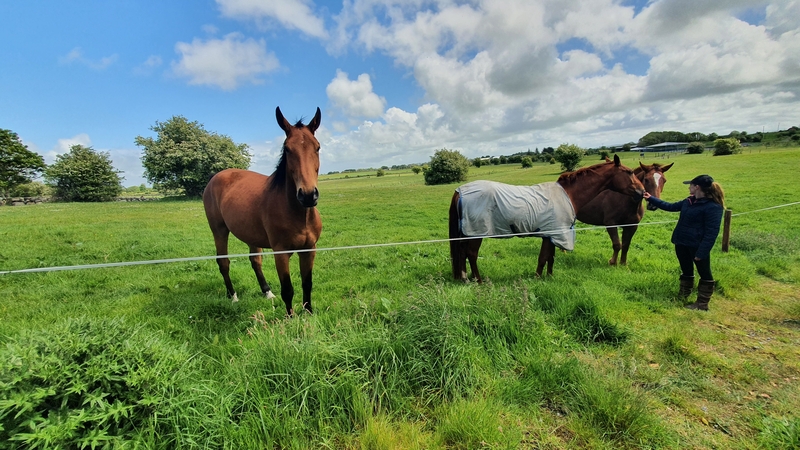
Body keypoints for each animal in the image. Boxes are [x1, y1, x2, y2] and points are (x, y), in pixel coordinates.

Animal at [203, 107, 322, 316]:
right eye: (287, 149)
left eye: (317, 147)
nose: (308, 195)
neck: (299, 215)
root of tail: (216, 177)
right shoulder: (280, 253)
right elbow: (288, 289)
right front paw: (290, 318)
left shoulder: (309, 250)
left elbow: (307, 284)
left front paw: (308, 313)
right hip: (219, 230)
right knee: (223, 262)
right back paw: (233, 296)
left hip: (251, 235)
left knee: (255, 260)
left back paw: (267, 292)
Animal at [449, 154, 645, 282]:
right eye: (629, 172)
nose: (642, 192)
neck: (568, 194)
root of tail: (461, 190)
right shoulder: (555, 233)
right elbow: (544, 257)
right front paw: (537, 278)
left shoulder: (551, 235)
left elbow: (549, 257)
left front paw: (548, 277)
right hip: (476, 233)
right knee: (471, 254)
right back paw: (479, 280)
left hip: (467, 233)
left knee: (462, 253)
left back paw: (465, 278)